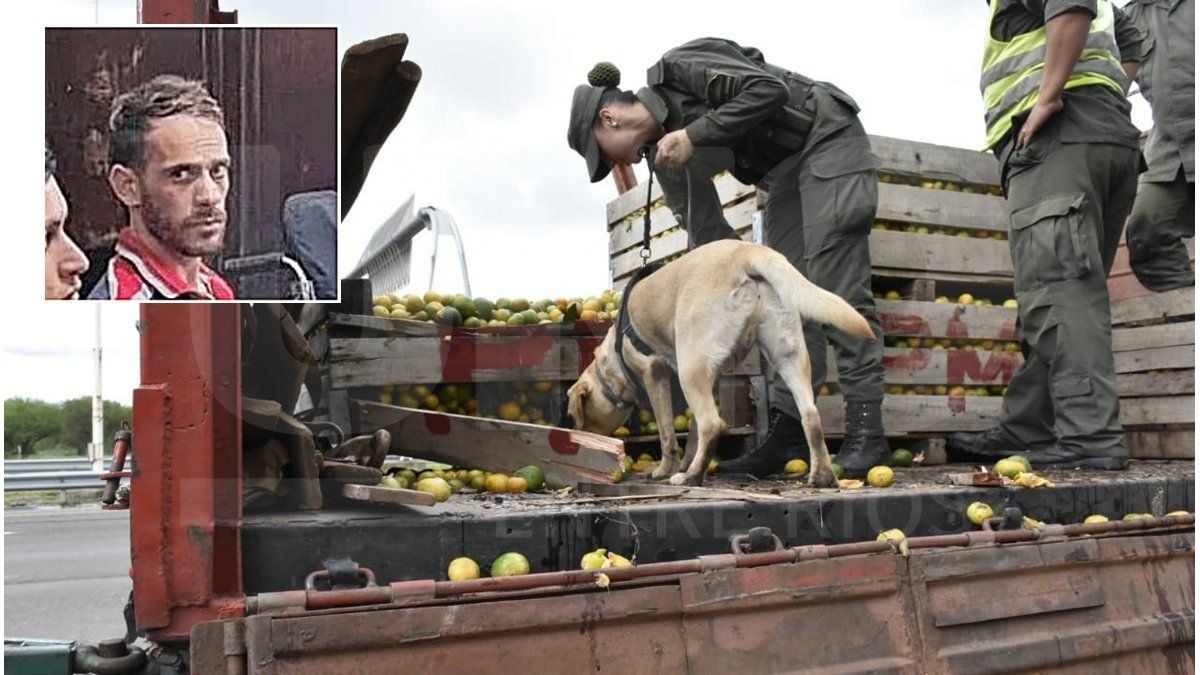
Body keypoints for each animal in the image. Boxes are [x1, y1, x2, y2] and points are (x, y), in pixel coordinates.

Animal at [566, 239, 868, 485]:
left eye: (575, 415)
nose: (579, 443)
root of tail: (747, 251)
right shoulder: (708, 381)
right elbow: (693, 434)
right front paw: (686, 462)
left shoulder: (655, 374)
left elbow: (668, 434)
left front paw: (666, 469)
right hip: (787, 355)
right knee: (810, 415)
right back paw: (823, 475)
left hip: (690, 367)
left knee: (711, 423)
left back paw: (690, 477)